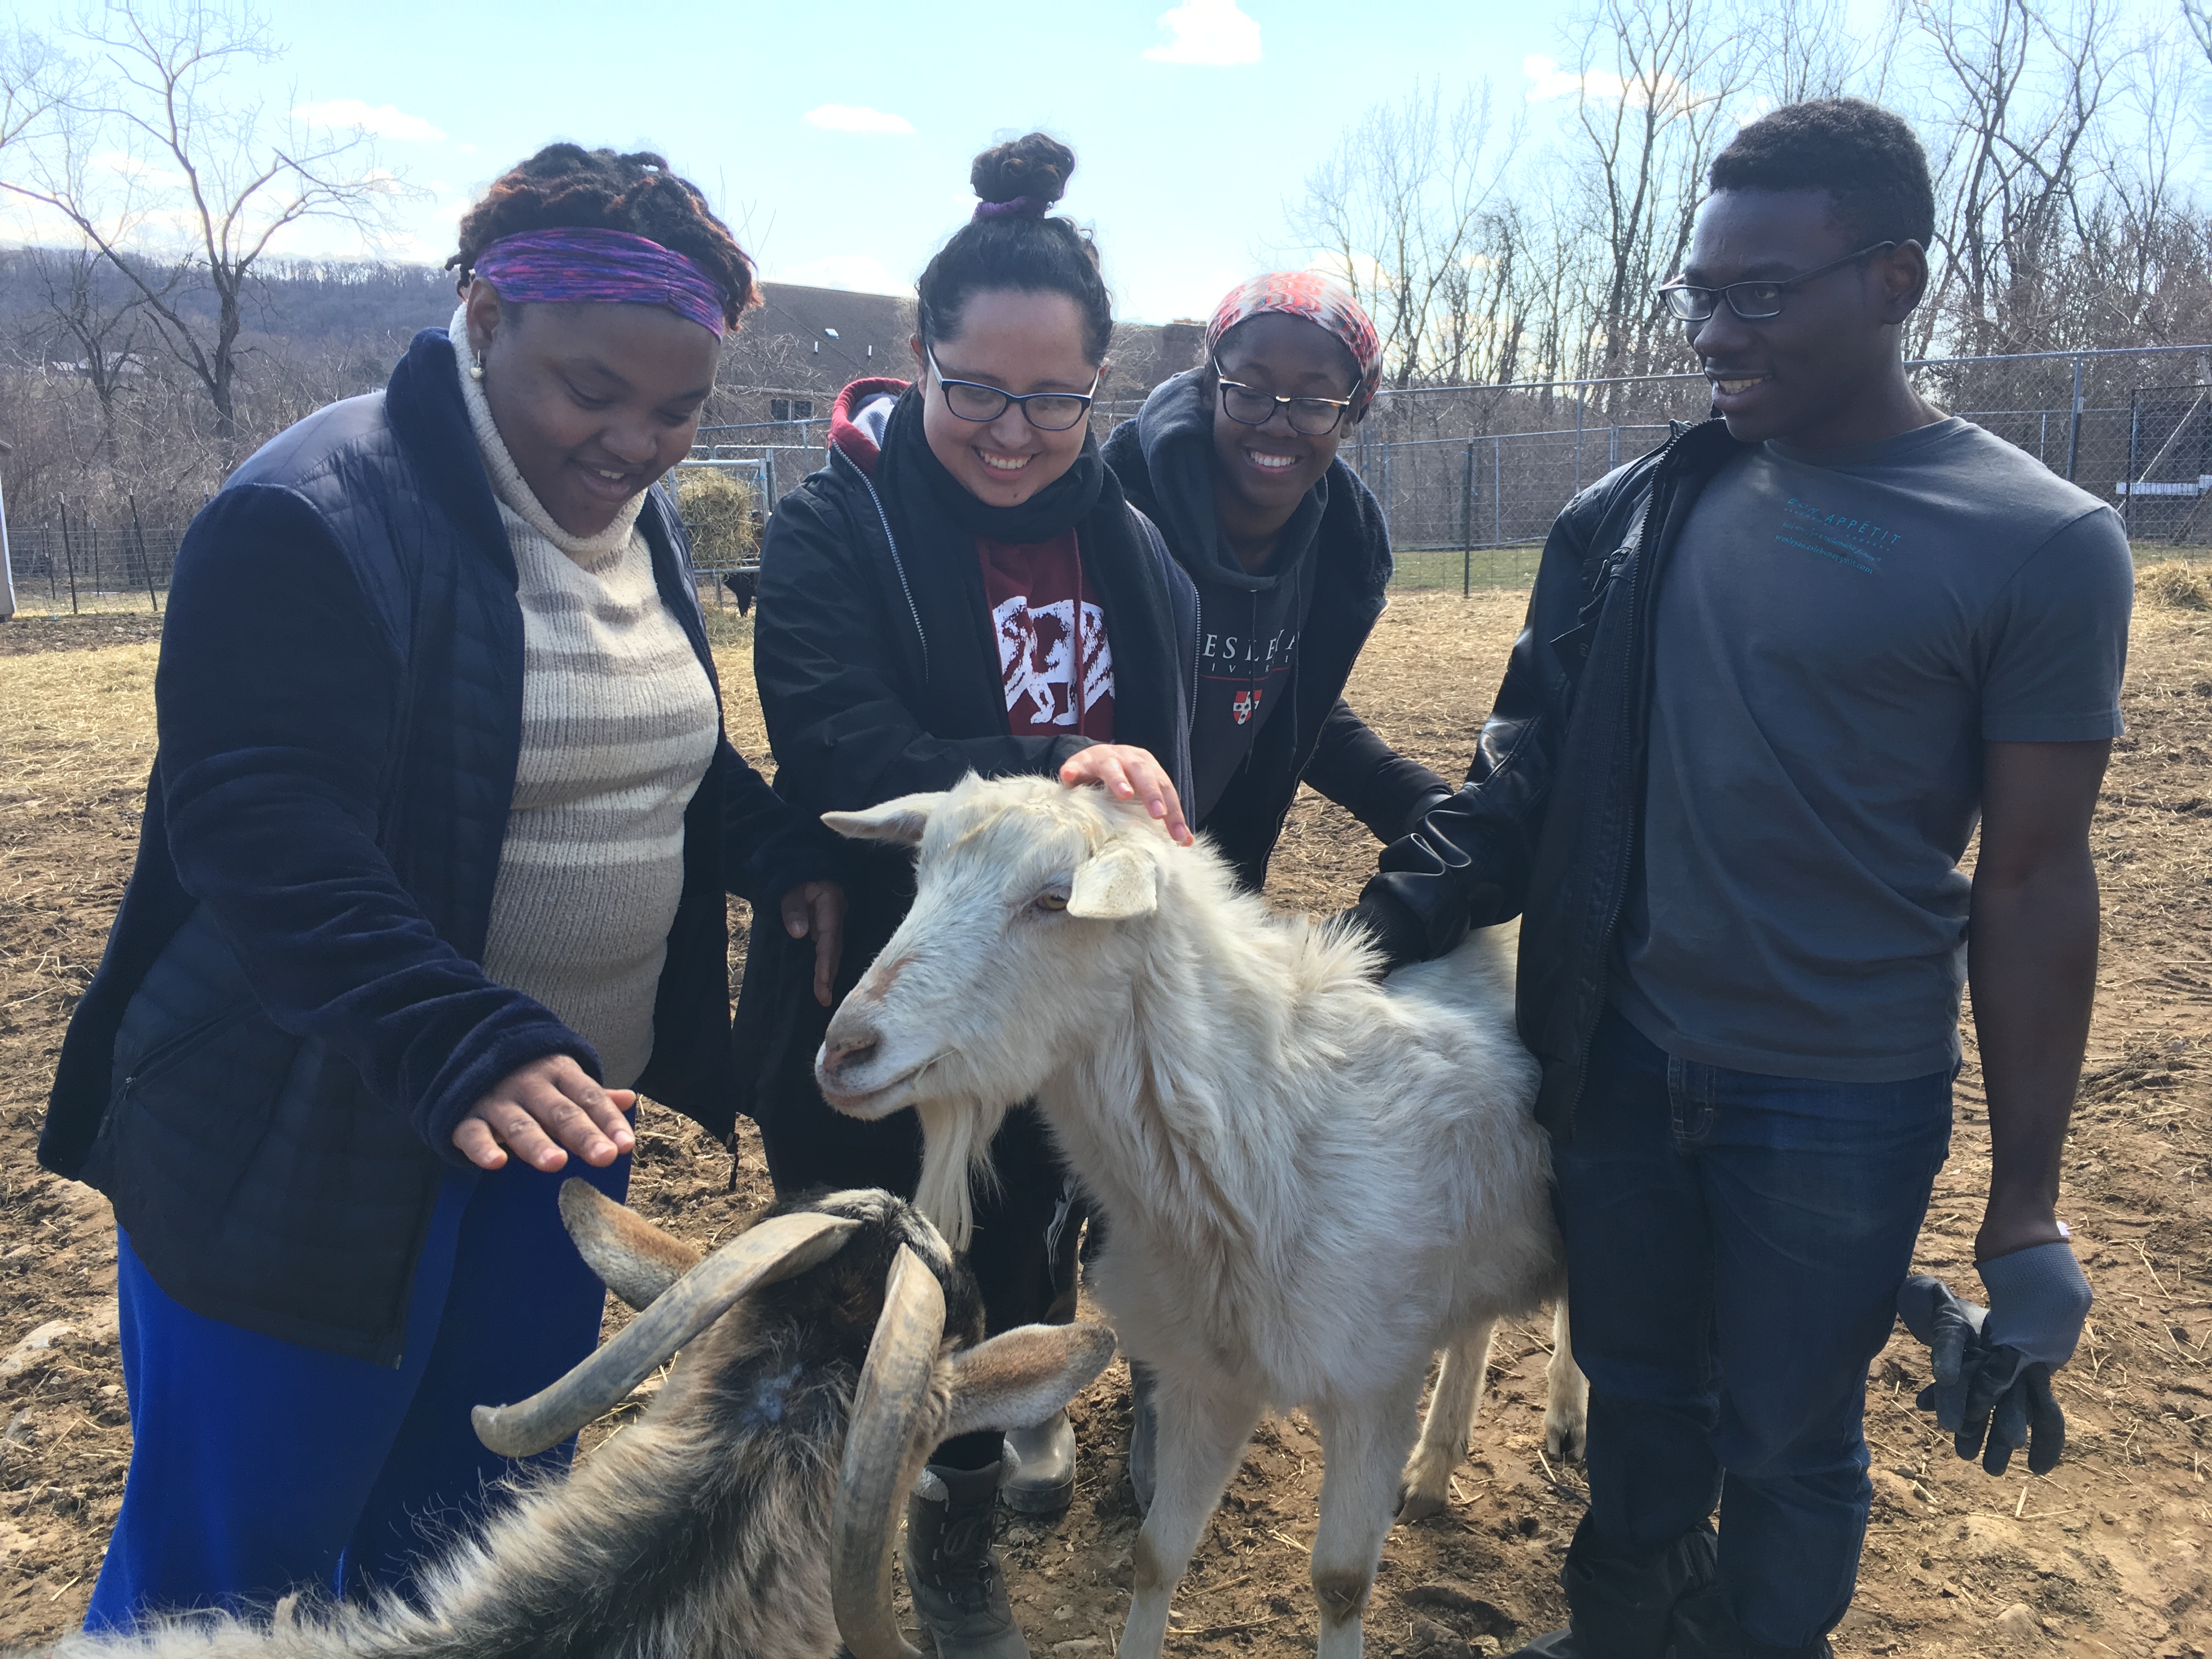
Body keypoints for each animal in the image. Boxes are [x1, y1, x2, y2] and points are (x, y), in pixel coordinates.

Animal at [814, 778, 1593, 1659]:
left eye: (1054, 899)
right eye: (921, 877)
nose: (844, 1051)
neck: (1271, 1122)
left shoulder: (1372, 1379)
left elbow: (1339, 1583)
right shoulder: (1205, 1368)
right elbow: (1156, 1551)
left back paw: (1563, 1419)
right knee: (1475, 1325)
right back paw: (1433, 1468)